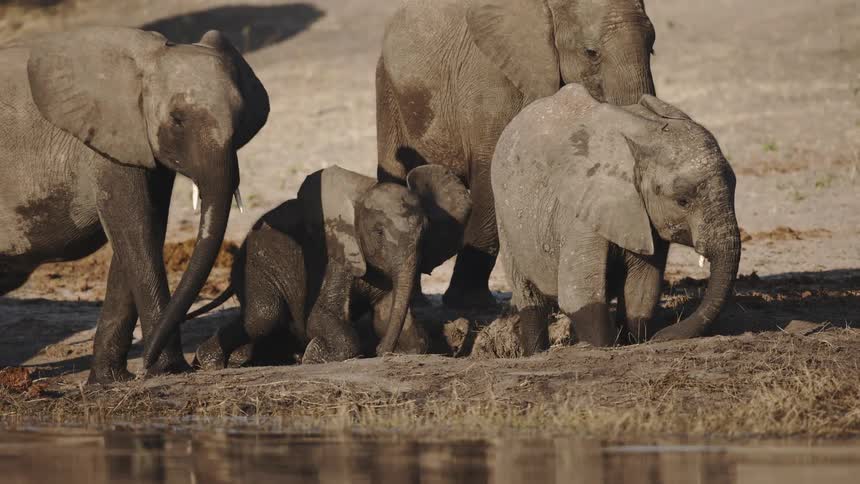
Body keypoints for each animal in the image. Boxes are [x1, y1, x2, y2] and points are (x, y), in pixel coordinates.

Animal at [0, 27, 269, 383]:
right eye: (177, 120)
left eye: (239, 120)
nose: (147, 363)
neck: (145, 61)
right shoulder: (107, 143)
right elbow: (135, 232)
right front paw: (169, 370)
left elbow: (146, 230)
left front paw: (109, 381)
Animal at [186, 165, 472, 369]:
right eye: (379, 232)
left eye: (425, 233)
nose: (380, 352)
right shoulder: (333, 258)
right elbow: (319, 316)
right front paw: (312, 358)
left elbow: (390, 317)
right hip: (257, 263)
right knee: (263, 315)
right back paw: (211, 364)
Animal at [376, 0, 656, 308]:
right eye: (590, 53)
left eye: (652, 47)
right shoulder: (490, 82)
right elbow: (490, 171)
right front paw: (468, 304)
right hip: (388, 89)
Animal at [492, 84, 741, 354]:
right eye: (682, 201)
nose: (660, 337)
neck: (644, 136)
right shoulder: (582, 213)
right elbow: (579, 297)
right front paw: (604, 347)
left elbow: (641, 292)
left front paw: (635, 341)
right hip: (504, 217)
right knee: (527, 295)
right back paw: (536, 352)